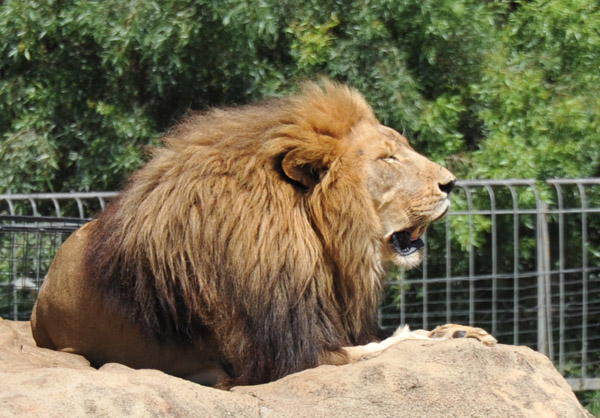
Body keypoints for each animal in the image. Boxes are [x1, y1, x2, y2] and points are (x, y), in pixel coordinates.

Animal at [30, 80, 494, 386]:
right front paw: (440, 335)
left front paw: (458, 330)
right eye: (388, 159)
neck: (319, 239)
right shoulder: (282, 358)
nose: (451, 183)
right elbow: (386, 346)